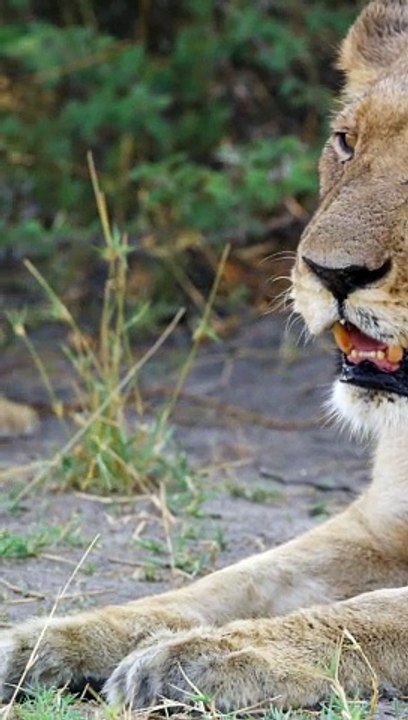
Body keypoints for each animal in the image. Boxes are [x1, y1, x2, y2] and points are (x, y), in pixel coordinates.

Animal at [2, 0, 408, 710]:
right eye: (346, 141)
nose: (331, 274)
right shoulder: (376, 526)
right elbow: (231, 581)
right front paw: (57, 637)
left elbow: (369, 611)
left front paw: (212, 655)